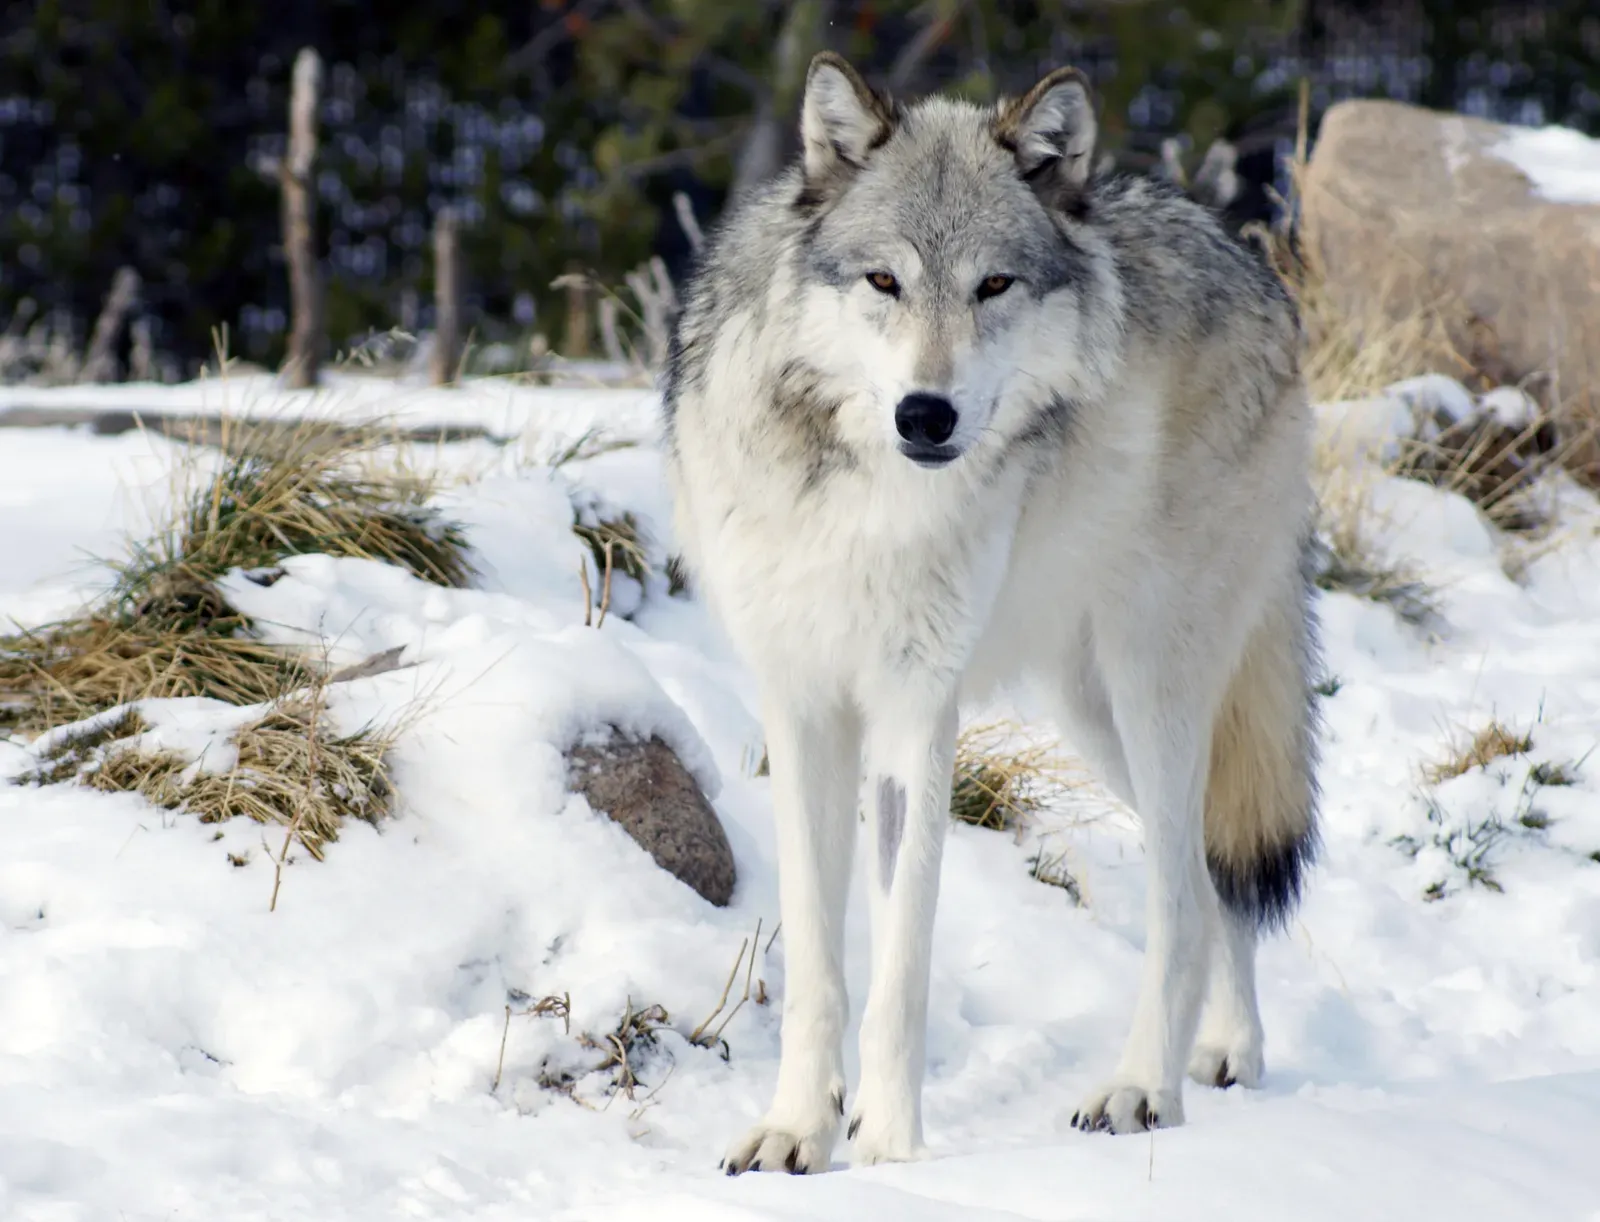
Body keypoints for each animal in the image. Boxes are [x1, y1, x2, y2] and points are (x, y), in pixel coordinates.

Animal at [661, 52, 1319, 1173]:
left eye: (993, 285)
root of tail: (1253, 269)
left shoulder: (917, 711)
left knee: (1181, 895)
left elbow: (901, 968)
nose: (926, 414)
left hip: (1152, 684)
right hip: (1092, 709)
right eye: (884, 281)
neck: (862, 498)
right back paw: (1228, 1050)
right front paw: (799, 1133)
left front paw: (889, 1155)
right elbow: (822, 964)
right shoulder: (803, 705)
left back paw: (1140, 1089)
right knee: (1207, 875)